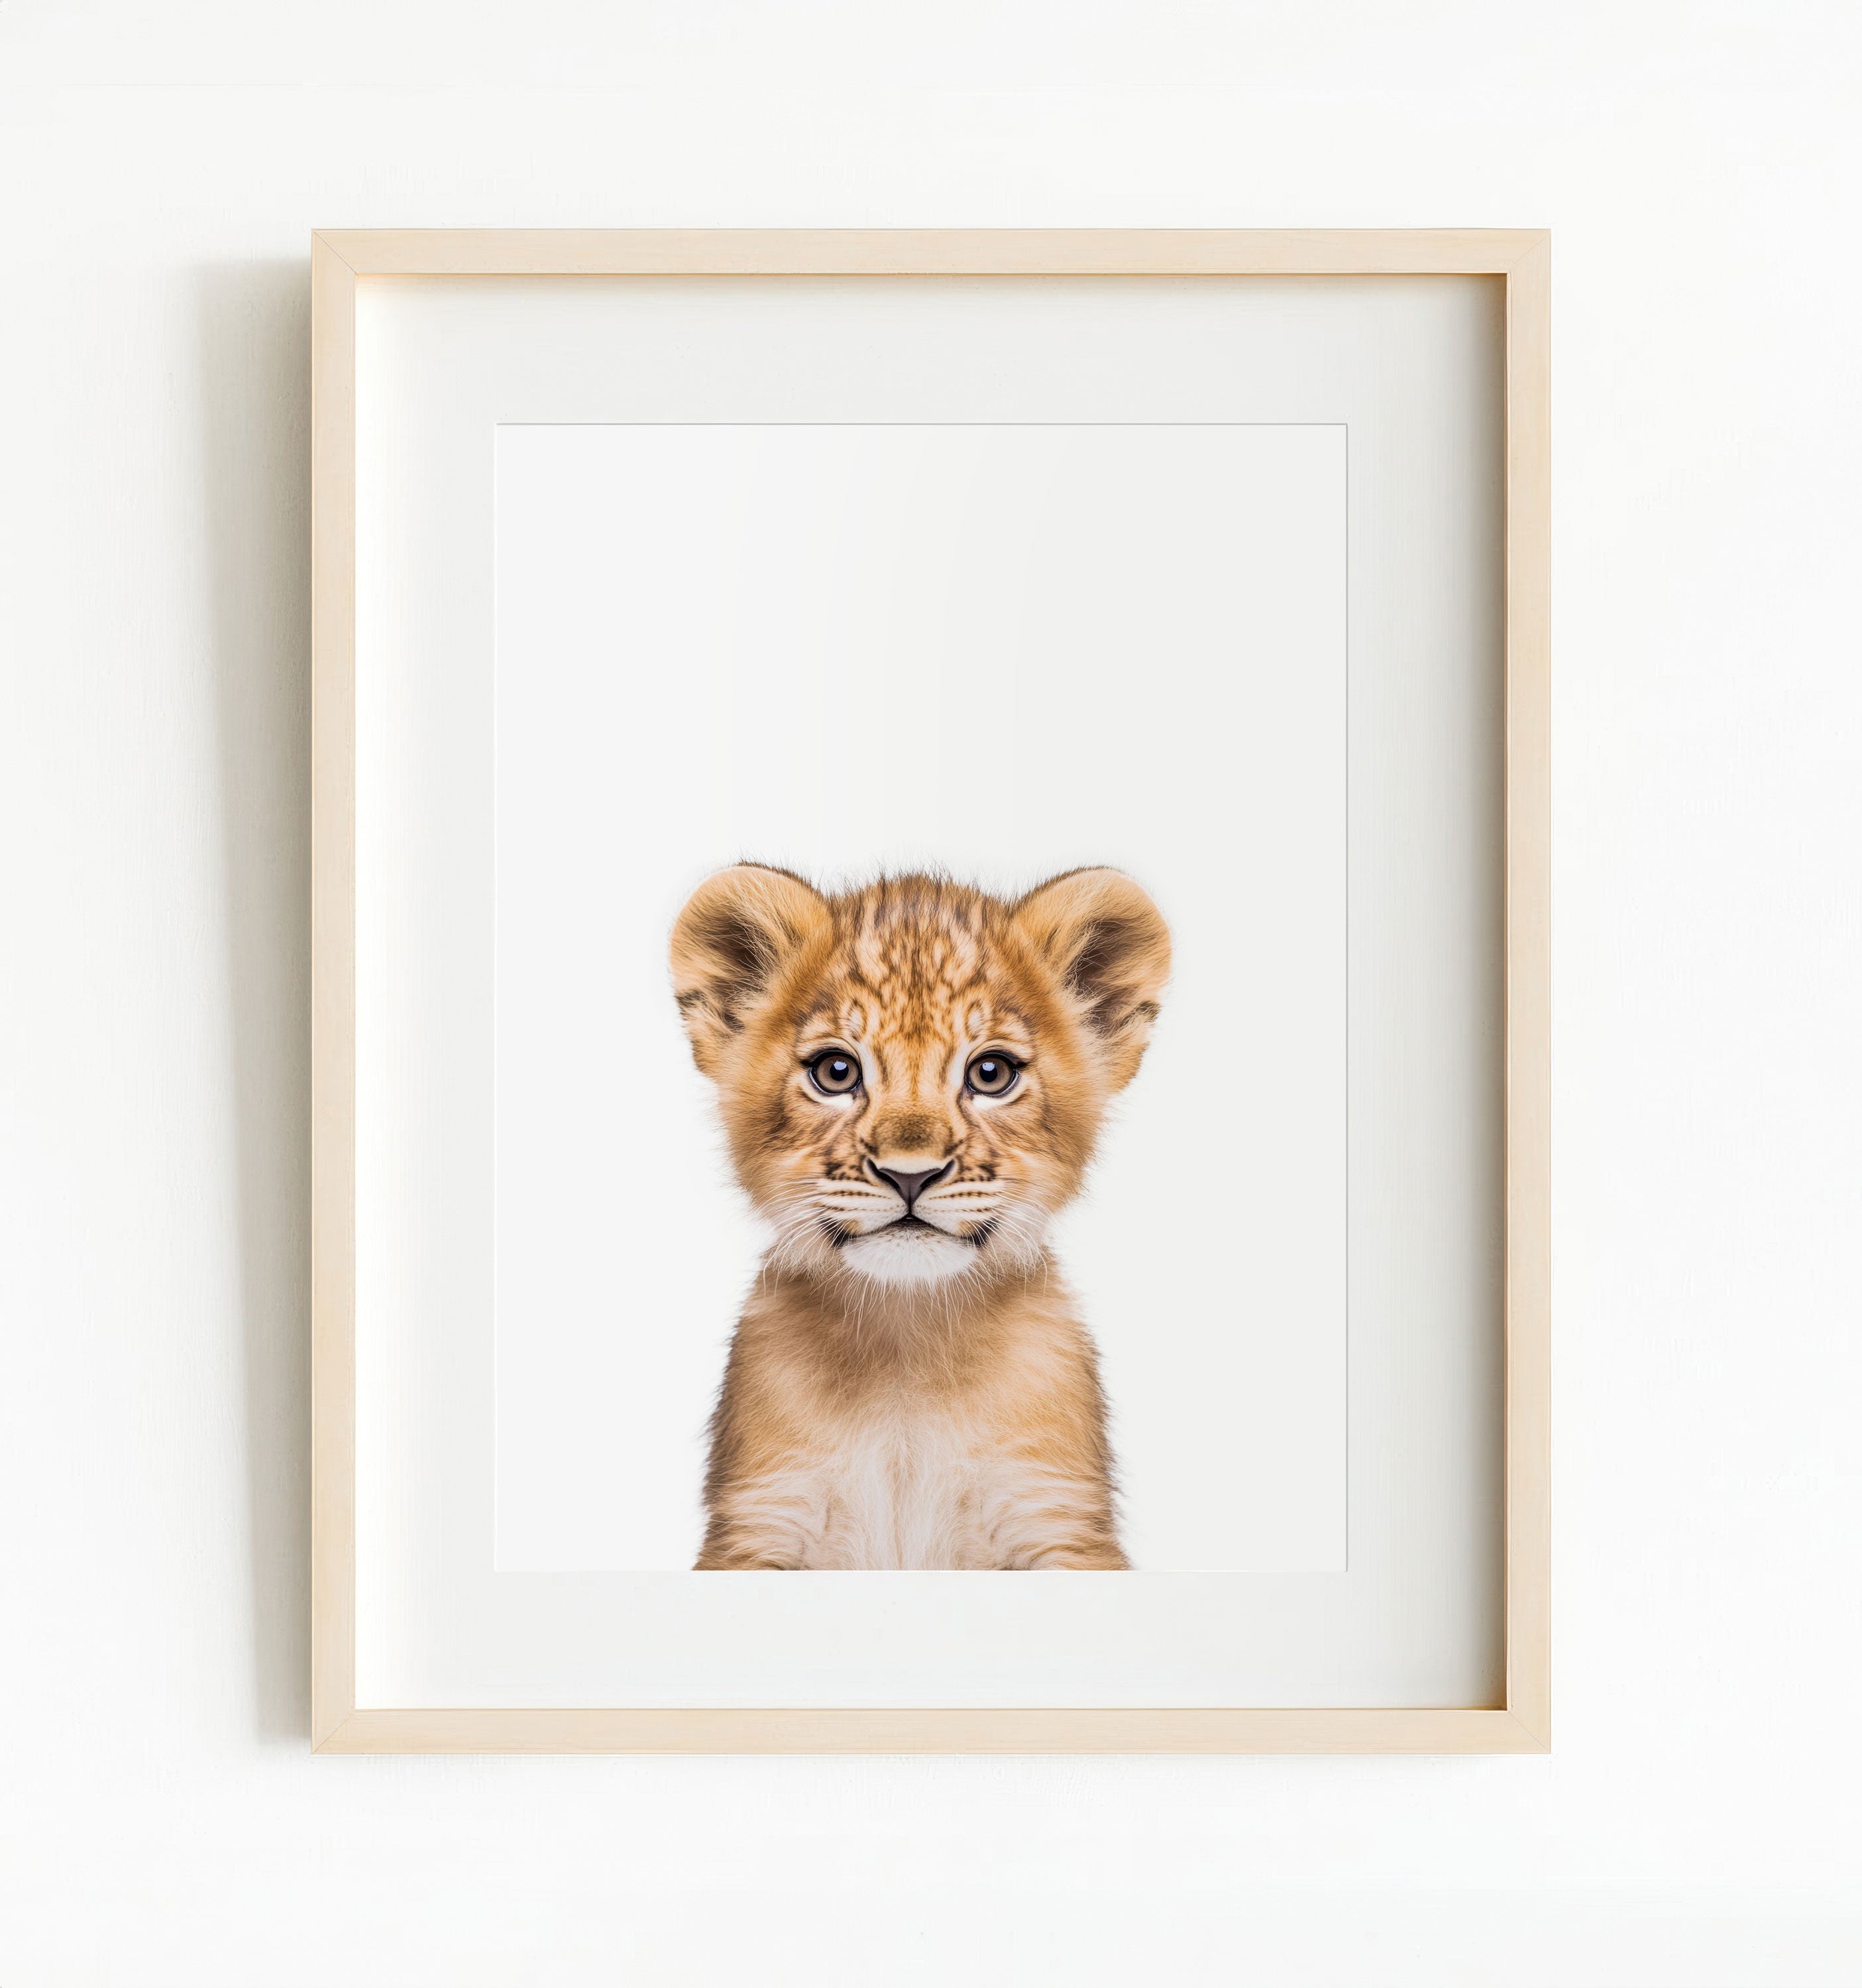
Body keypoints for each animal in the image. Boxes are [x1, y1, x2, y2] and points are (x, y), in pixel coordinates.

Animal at [669, 864, 1170, 1570]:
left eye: (991, 1073)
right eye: (835, 1071)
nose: (911, 1174)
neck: (907, 1334)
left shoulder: (1056, 1518)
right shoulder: (761, 1521)